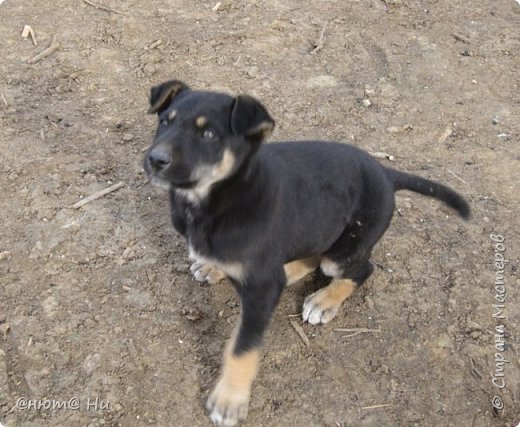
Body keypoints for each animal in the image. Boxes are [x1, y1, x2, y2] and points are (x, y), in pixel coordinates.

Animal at [143, 81, 472, 427]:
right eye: (164, 122)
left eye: (208, 135)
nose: (155, 159)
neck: (217, 198)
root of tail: (385, 172)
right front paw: (213, 266)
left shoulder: (261, 291)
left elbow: (242, 347)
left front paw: (229, 399)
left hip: (344, 250)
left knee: (362, 269)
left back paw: (323, 301)